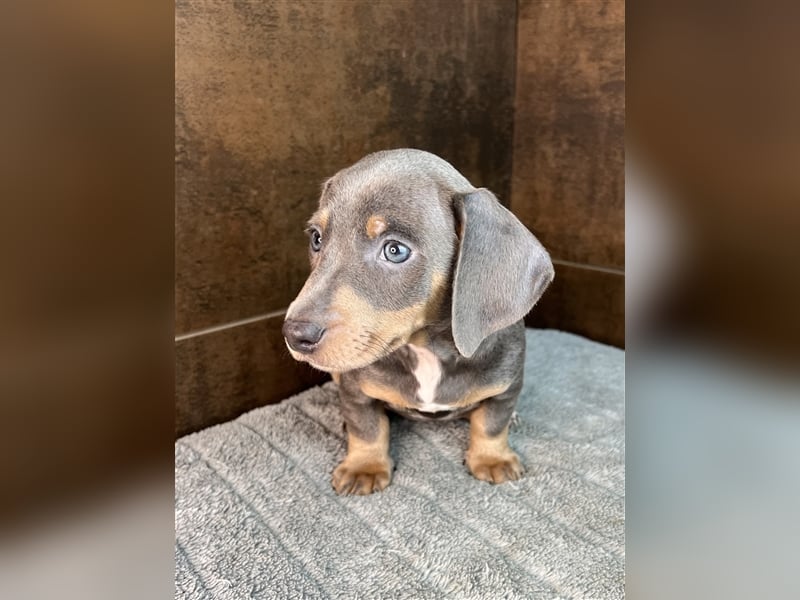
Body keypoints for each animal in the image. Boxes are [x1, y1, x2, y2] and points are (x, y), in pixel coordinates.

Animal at [284, 148, 552, 494]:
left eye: (395, 250)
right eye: (316, 238)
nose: (294, 334)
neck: (427, 349)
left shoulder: (506, 385)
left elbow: (492, 423)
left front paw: (493, 458)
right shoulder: (355, 389)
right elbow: (366, 427)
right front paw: (364, 466)